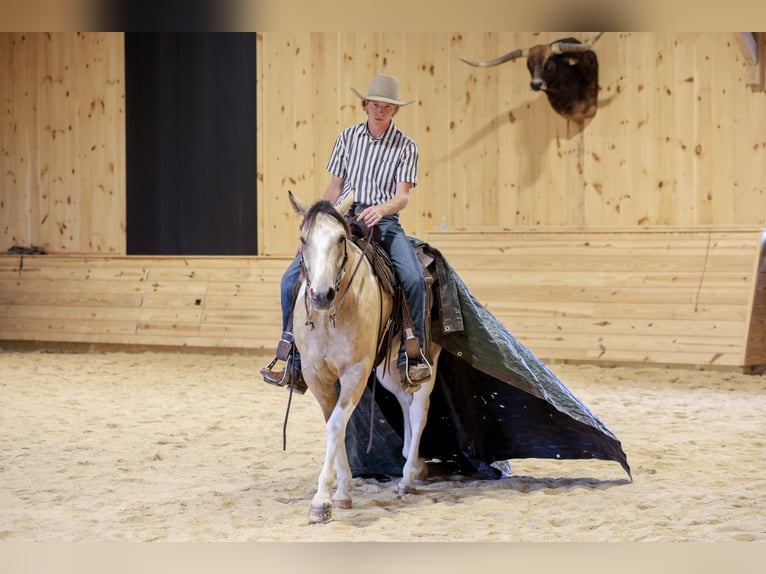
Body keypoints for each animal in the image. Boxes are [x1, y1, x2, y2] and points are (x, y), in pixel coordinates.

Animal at [288, 191, 442, 524]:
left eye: (341, 238)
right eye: (303, 239)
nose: (321, 295)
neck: (328, 318)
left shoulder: (355, 372)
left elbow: (335, 426)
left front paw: (322, 501)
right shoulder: (316, 375)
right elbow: (335, 426)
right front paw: (342, 492)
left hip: (429, 357)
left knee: (419, 408)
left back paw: (407, 478)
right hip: (388, 368)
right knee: (404, 400)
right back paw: (413, 462)